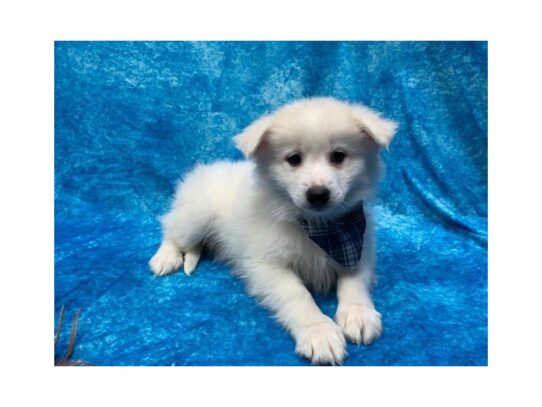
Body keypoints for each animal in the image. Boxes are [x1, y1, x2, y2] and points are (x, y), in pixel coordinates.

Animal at [151, 97, 398, 364]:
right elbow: (297, 295)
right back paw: (165, 258)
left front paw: (357, 313)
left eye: (338, 156)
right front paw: (318, 332)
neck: (319, 229)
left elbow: (354, 280)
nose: (318, 194)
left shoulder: (358, 245)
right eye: (294, 159)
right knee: (170, 227)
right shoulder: (266, 265)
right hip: (195, 214)